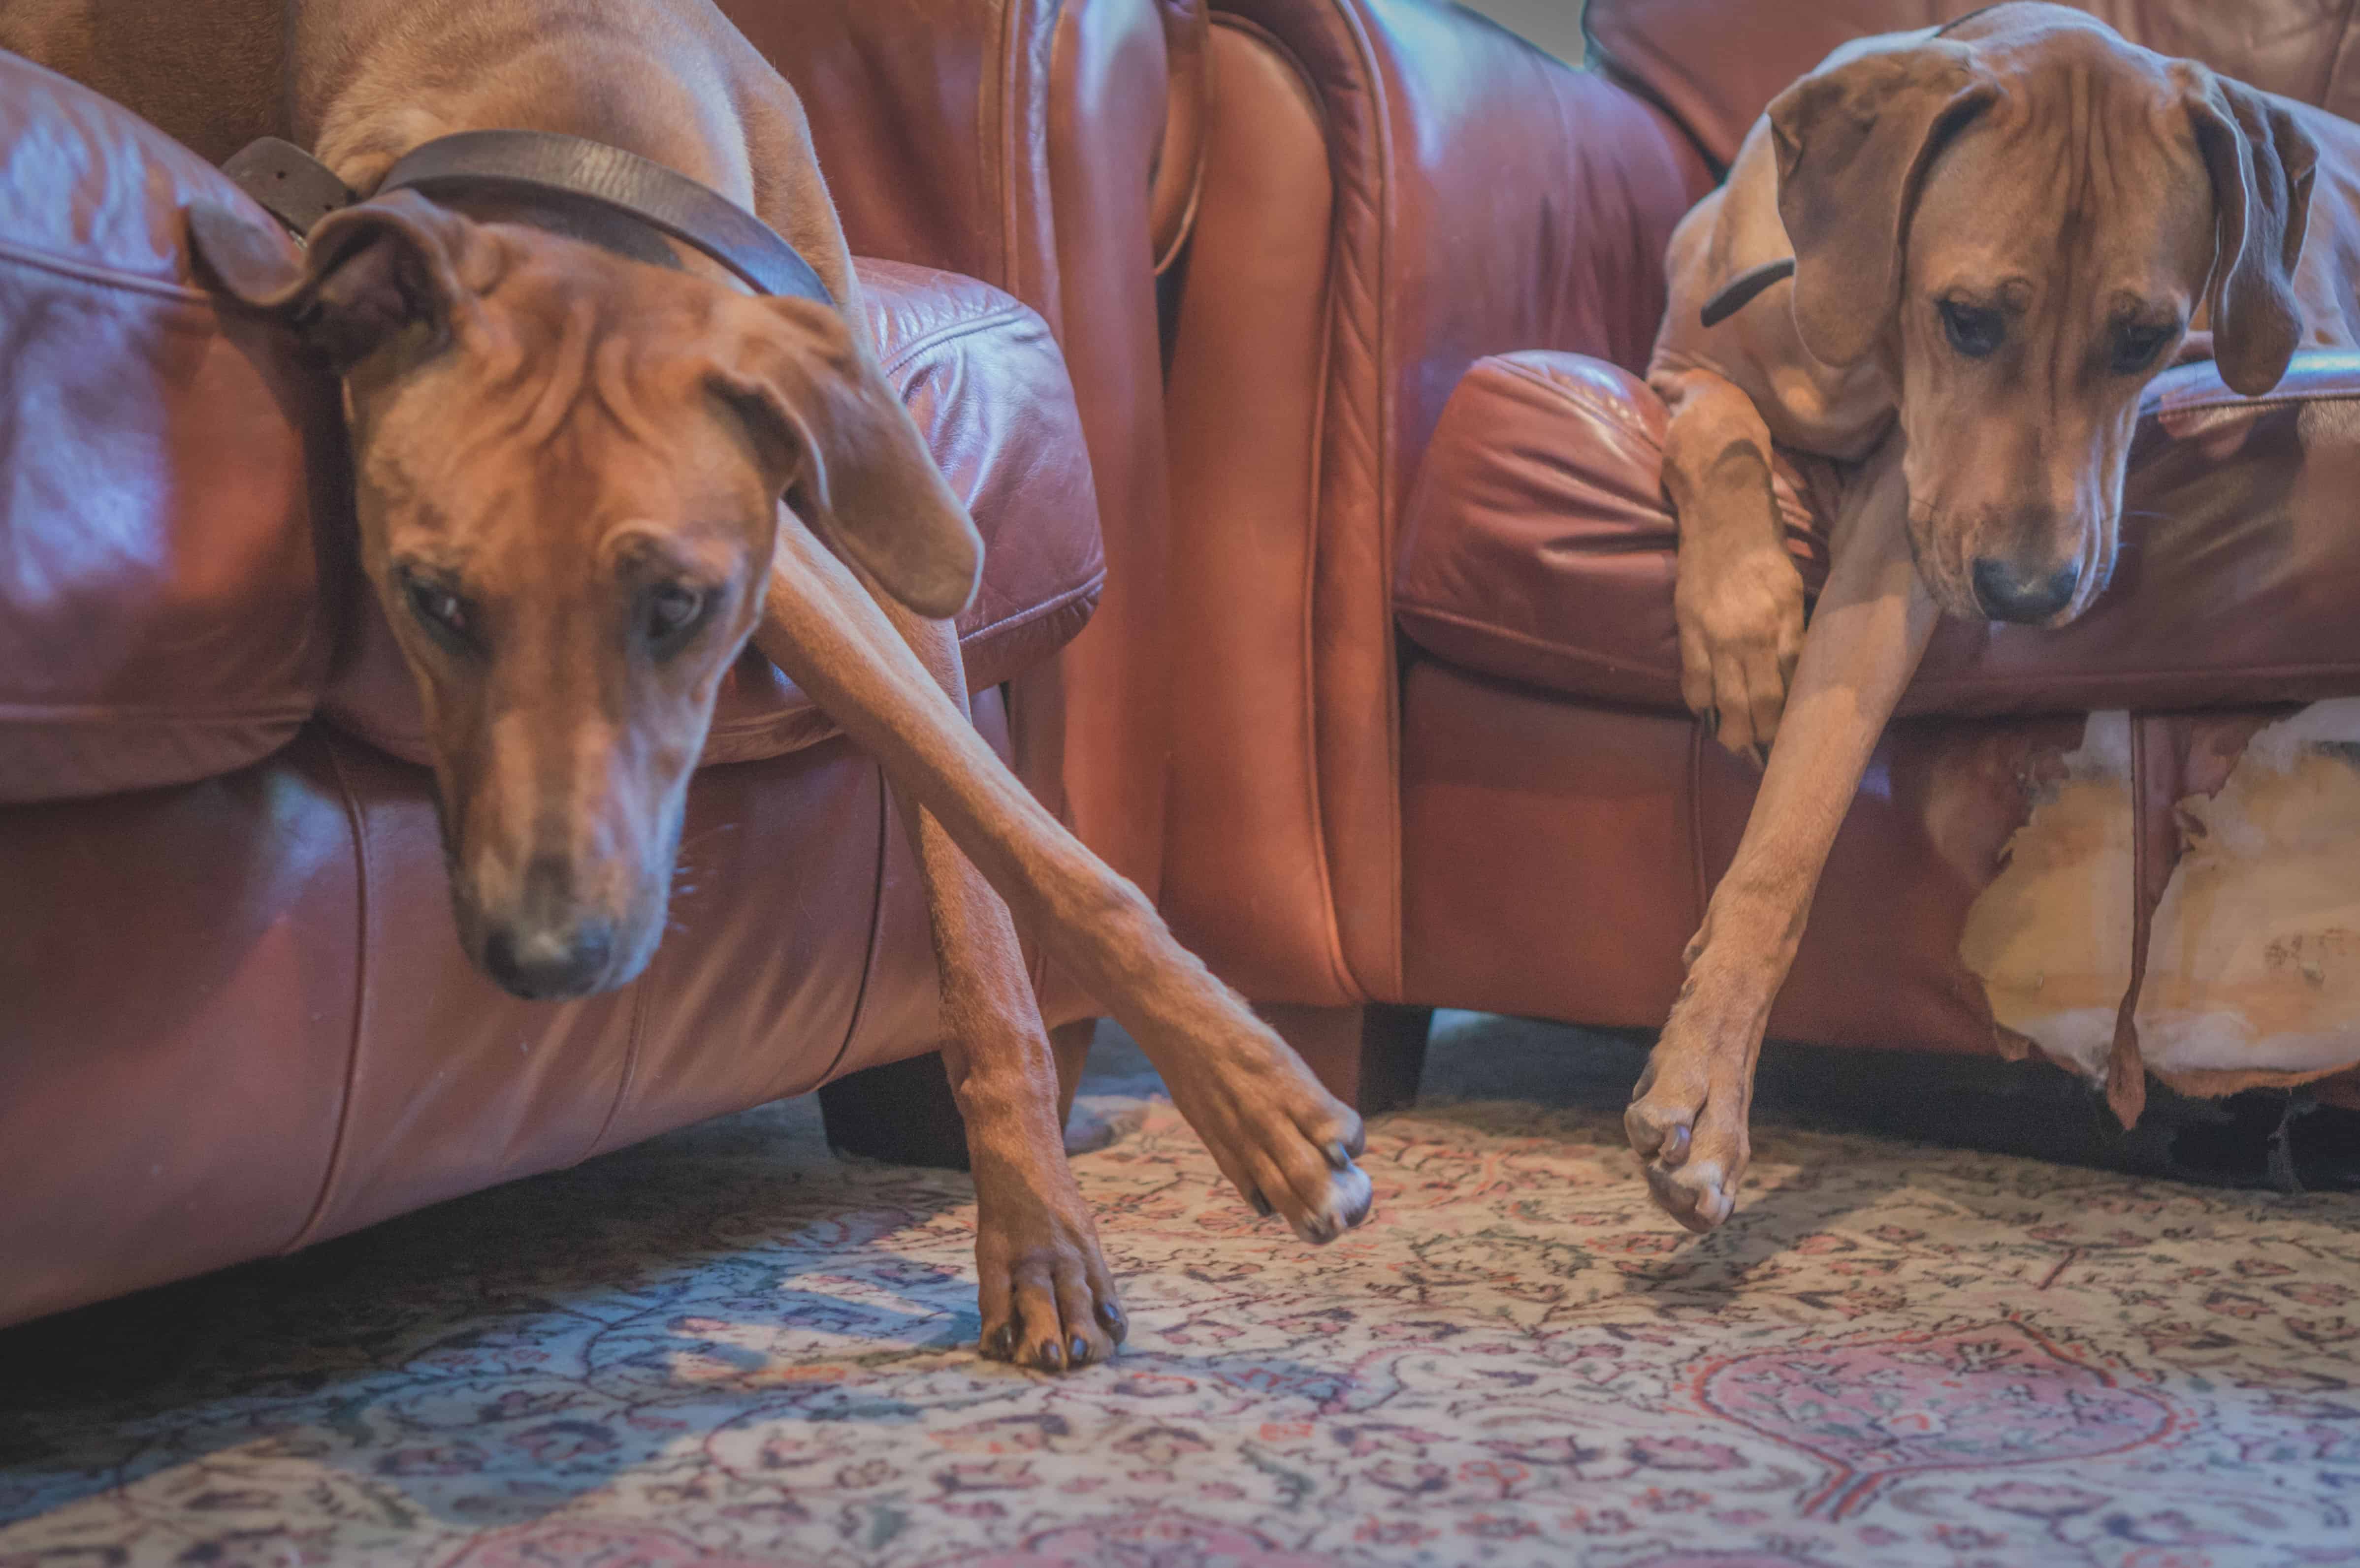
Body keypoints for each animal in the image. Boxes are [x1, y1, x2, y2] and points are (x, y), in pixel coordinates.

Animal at [0, 0, 1378, 1367]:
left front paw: (1131, 1176)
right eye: (431, 599)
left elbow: (989, 850)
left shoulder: (858, 521)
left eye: (677, 607)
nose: (548, 954)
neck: (574, 84)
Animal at [1633, 3, 2350, 1235]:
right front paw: (1741, 625)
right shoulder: (1682, 356)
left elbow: (1796, 819)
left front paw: (1705, 1086)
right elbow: (1717, 429)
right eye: (1963, 319)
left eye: (2141, 337)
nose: (2027, 592)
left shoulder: (1900, 531)